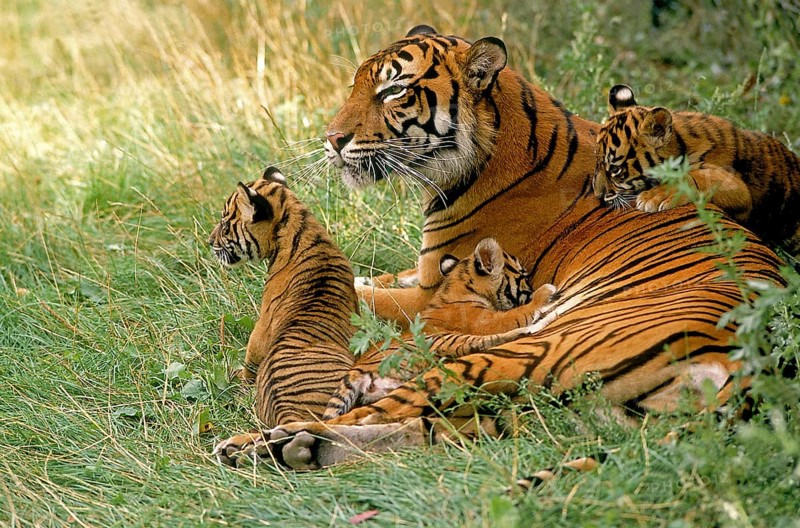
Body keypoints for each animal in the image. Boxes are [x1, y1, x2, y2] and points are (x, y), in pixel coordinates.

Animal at [323, 238, 557, 419]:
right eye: (524, 277)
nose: (534, 287)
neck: (457, 284)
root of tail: (356, 370)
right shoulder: (489, 321)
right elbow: (519, 313)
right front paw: (544, 293)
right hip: (444, 340)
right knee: (497, 339)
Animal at [594, 84, 800, 255]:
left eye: (615, 169)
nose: (597, 195)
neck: (680, 145)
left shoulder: (740, 190)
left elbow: (697, 177)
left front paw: (656, 196)